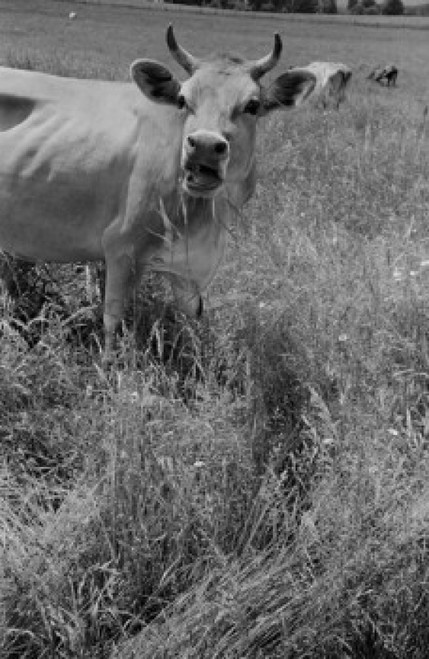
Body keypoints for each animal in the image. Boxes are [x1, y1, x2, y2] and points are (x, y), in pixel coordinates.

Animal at [0, 25, 316, 357]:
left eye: (252, 105)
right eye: (182, 100)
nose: (204, 145)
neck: (208, 217)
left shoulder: (186, 269)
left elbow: (192, 316)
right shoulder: (121, 246)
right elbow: (112, 319)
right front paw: (108, 366)